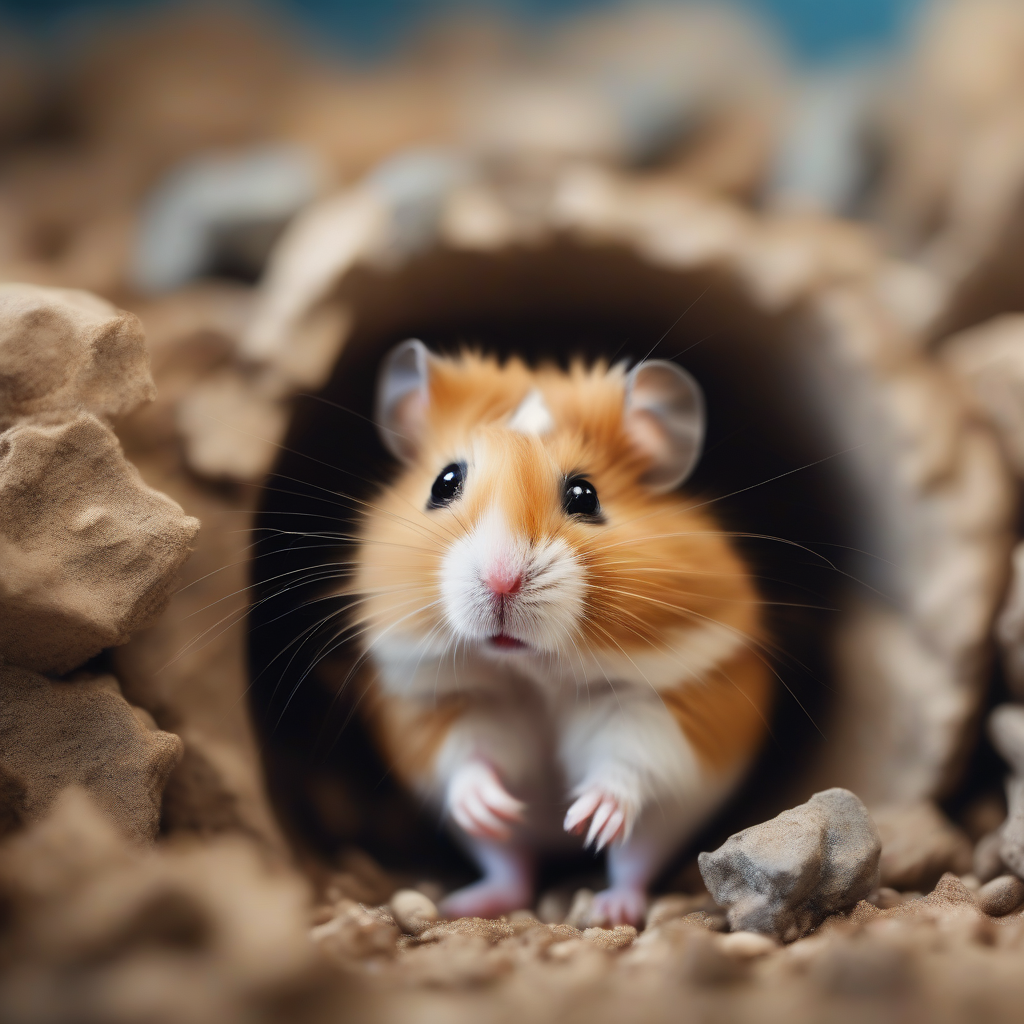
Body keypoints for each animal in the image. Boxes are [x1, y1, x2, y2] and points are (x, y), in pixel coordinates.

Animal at [347, 339, 772, 926]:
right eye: (443, 482)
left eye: (585, 494)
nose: (501, 580)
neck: (531, 671)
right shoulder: (440, 702)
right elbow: (464, 758)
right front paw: (490, 806)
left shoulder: (659, 705)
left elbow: (631, 760)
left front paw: (588, 816)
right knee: (510, 865)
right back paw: (468, 899)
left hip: (661, 825)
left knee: (633, 863)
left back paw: (610, 907)